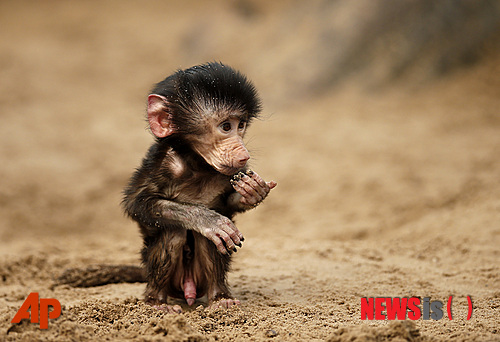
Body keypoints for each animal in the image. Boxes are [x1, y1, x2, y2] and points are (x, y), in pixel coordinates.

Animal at [121, 62, 278, 312]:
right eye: (226, 126)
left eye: (241, 125)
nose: (244, 155)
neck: (197, 164)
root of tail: (188, 289)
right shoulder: (160, 164)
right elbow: (137, 203)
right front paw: (208, 220)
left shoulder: (231, 174)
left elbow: (226, 204)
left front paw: (254, 191)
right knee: (174, 231)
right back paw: (157, 302)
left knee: (209, 241)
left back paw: (220, 298)